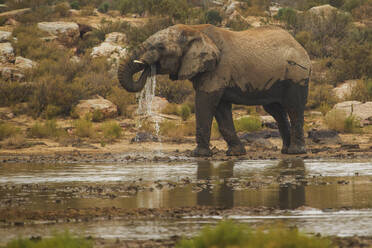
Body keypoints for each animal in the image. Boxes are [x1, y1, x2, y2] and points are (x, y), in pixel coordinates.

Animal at [118, 24, 310, 157]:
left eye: (159, 47)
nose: (147, 66)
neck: (194, 29)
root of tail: (300, 45)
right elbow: (221, 109)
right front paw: (235, 153)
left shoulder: (217, 70)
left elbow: (205, 102)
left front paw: (198, 155)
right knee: (275, 110)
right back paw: (285, 150)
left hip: (296, 73)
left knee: (294, 108)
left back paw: (296, 152)